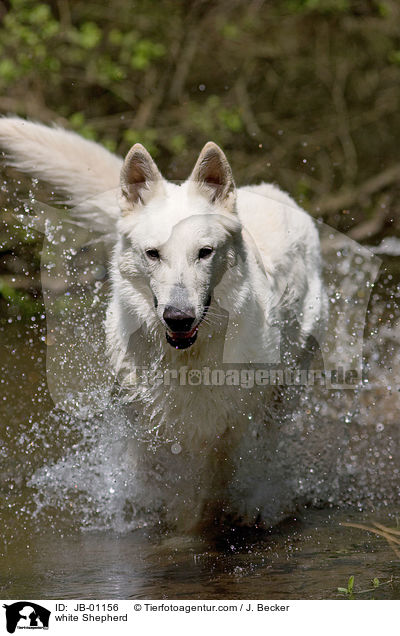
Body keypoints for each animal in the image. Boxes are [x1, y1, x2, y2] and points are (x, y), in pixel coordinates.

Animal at [0, 118, 324, 532]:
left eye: (204, 253)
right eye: (153, 254)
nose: (178, 317)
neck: (186, 361)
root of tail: (277, 193)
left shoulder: (227, 427)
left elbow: (210, 488)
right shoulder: (144, 420)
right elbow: (155, 478)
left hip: (285, 389)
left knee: (267, 444)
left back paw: (255, 503)